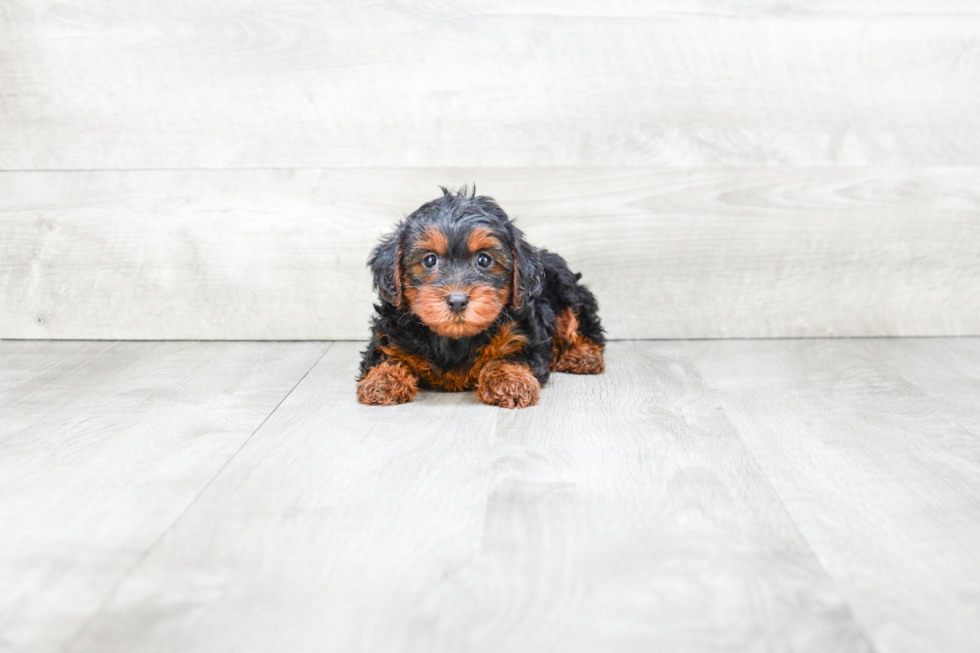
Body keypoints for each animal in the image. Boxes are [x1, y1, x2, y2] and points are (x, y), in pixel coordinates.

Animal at [358, 186, 604, 408]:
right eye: (429, 260)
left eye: (484, 260)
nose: (457, 301)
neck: (454, 340)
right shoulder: (391, 332)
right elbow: (386, 355)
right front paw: (382, 381)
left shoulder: (522, 334)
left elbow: (511, 355)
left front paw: (510, 381)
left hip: (567, 291)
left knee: (582, 324)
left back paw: (583, 356)